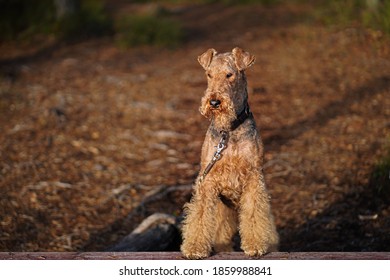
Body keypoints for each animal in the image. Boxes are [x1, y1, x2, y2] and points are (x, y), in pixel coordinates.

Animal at [181, 47, 278, 260]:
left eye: (229, 75)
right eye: (209, 74)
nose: (214, 102)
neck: (229, 130)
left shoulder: (253, 177)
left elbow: (253, 214)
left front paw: (255, 245)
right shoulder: (207, 179)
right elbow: (199, 215)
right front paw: (194, 248)